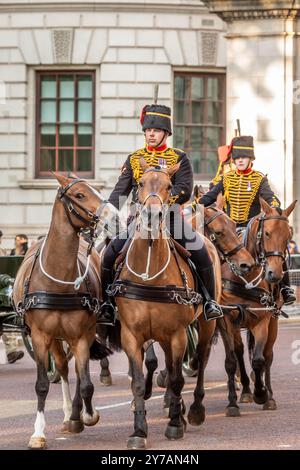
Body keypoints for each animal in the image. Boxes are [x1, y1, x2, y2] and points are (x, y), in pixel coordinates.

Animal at [12, 174, 113, 450]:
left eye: (96, 190)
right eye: (79, 195)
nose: (113, 216)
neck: (58, 280)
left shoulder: (82, 335)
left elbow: (86, 382)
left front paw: (89, 415)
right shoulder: (39, 336)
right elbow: (42, 385)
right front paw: (38, 433)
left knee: (76, 371)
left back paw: (76, 415)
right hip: (55, 338)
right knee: (63, 368)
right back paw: (68, 414)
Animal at [105, 161, 220, 448]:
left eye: (169, 185)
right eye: (140, 183)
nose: (152, 215)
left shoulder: (177, 334)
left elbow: (178, 378)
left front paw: (175, 424)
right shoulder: (132, 335)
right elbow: (138, 382)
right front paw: (138, 431)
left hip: (204, 326)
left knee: (201, 359)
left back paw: (195, 410)